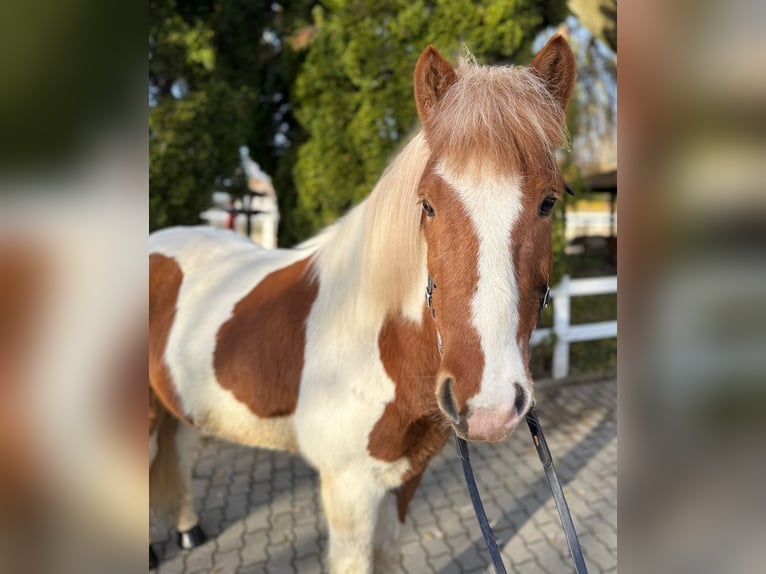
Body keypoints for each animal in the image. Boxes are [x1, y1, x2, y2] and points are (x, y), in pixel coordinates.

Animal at [149, 34, 575, 573]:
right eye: (427, 204)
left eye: (549, 202)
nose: (489, 405)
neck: (375, 340)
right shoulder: (348, 491)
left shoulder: (405, 476)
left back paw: (188, 530)